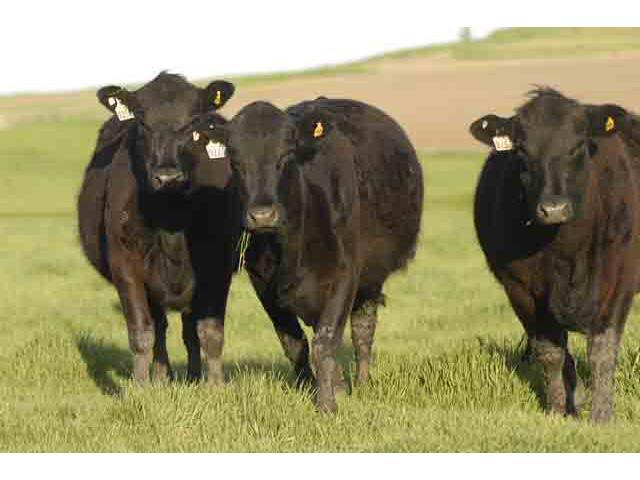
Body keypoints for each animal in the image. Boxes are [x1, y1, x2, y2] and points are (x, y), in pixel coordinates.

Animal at [77, 73, 242, 384]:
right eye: (142, 121)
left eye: (194, 121)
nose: (167, 176)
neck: (171, 221)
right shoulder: (125, 266)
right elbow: (142, 333)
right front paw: (141, 388)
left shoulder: (217, 266)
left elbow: (210, 332)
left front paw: (216, 386)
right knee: (161, 328)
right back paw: (161, 376)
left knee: (189, 330)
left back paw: (193, 376)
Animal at [219, 98, 423, 413]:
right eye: (235, 160)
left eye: (286, 154)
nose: (262, 215)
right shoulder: (263, 283)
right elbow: (295, 344)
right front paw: (310, 389)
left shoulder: (346, 274)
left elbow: (325, 341)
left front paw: (326, 405)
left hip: (371, 279)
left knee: (362, 330)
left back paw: (361, 383)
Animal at [470, 87, 640, 422]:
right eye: (522, 150)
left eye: (577, 145)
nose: (553, 208)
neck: (565, 249)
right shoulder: (520, 289)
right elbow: (550, 352)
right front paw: (559, 410)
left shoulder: (619, 280)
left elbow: (602, 350)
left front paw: (602, 416)